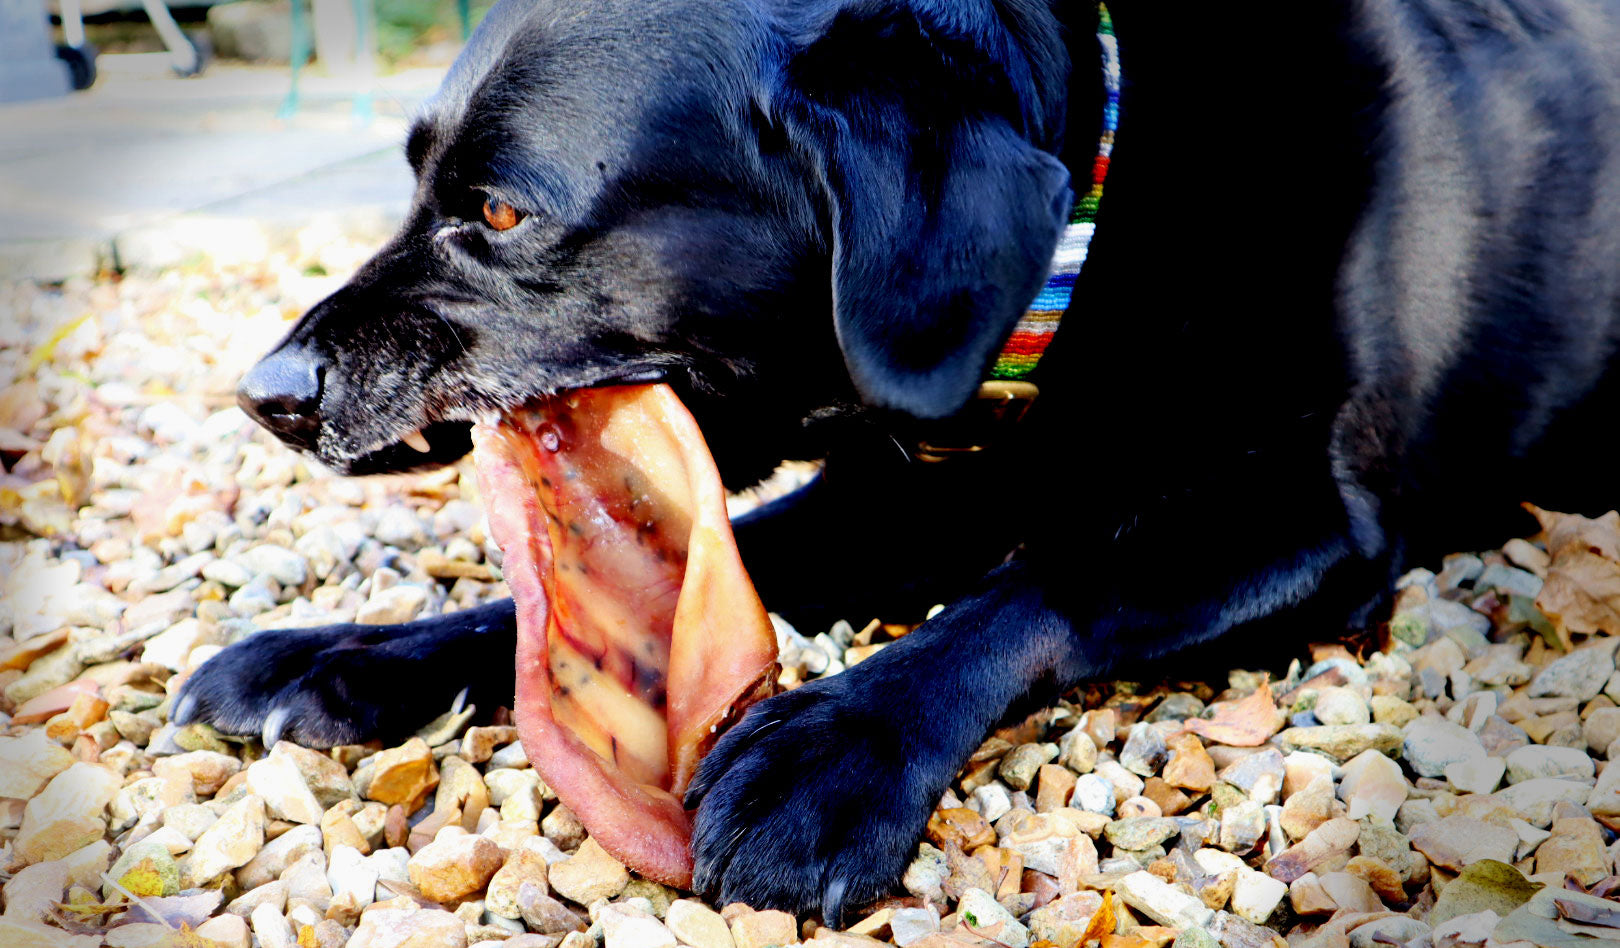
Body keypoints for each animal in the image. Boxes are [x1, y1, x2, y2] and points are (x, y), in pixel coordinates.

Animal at [174, 0, 1620, 920]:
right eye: (418, 183)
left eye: (502, 211)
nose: (266, 394)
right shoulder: (886, 507)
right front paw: (344, 656)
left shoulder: (1313, 517)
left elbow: (1041, 585)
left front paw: (830, 753)